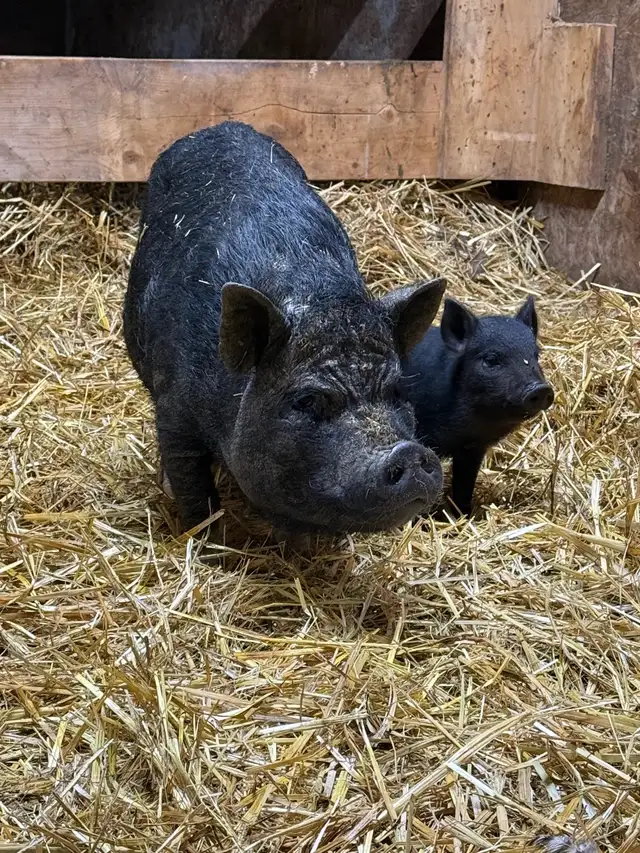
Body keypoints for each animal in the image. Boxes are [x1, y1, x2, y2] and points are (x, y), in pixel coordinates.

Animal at [123, 121, 446, 537]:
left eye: (397, 391)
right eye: (305, 400)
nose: (408, 451)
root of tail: (218, 126)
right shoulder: (174, 407)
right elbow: (193, 488)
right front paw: (203, 540)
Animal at [402, 296, 554, 517]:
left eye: (536, 355)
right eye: (491, 359)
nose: (541, 389)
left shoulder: (473, 449)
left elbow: (464, 486)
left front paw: (463, 516)